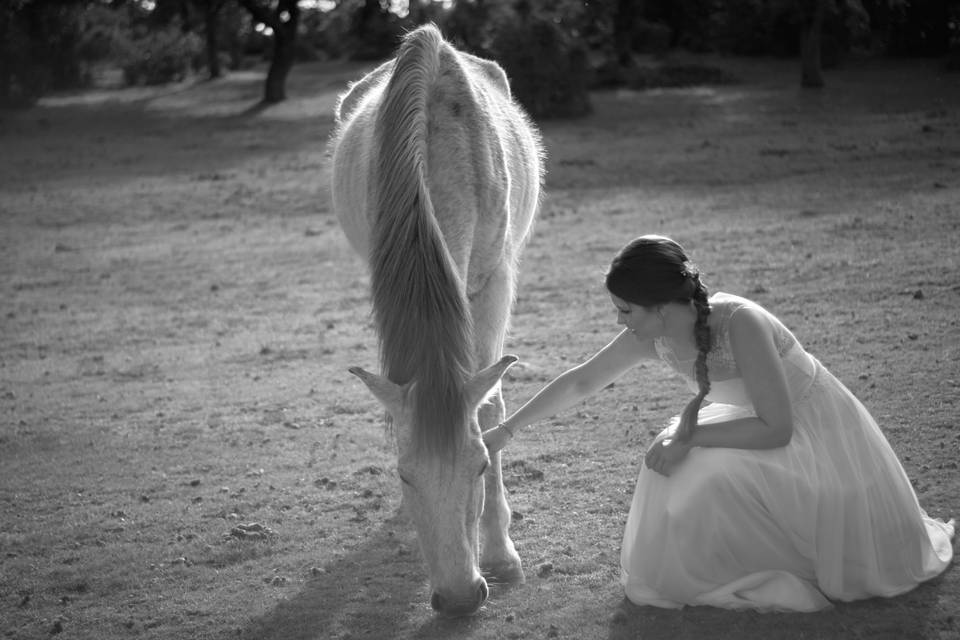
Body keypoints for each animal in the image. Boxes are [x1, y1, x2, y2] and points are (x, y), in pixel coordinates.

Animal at [328, 23, 540, 616]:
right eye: (404, 475)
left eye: (480, 465)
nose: (460, 598)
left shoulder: (495, 280)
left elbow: (490, 405)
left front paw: (502, 554)